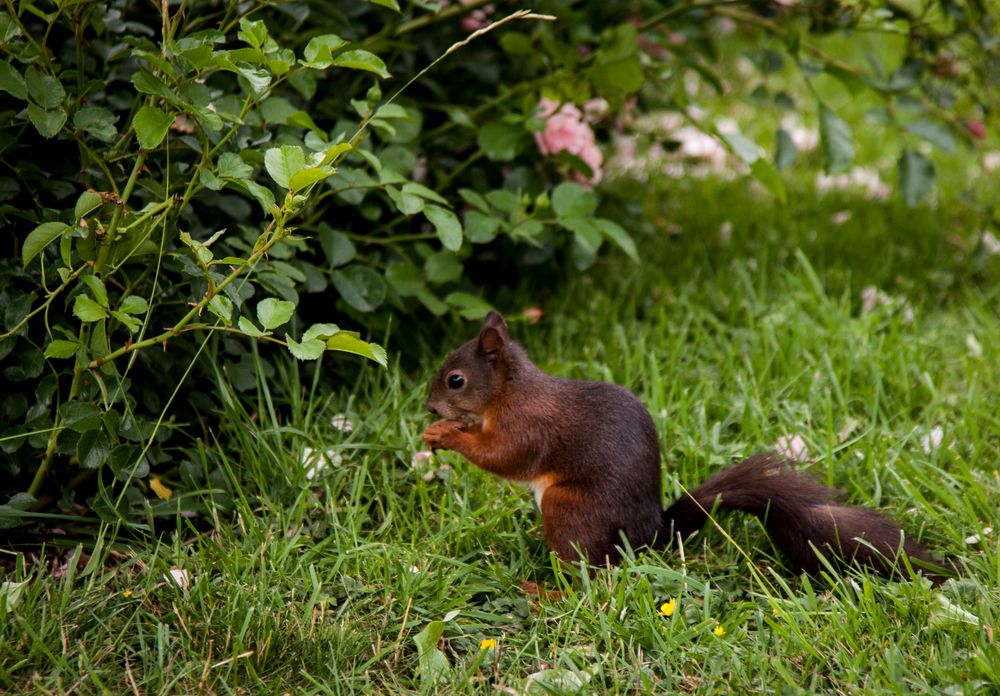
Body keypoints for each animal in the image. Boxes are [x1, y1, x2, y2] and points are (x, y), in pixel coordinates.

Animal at [420, 312, 936, 580]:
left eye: (455, 379)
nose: (428, 407)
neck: (511, 390)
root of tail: (652, 536)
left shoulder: (528, 427)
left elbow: (503, 456)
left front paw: (446, 434)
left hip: (569, 511)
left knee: (588, 575)